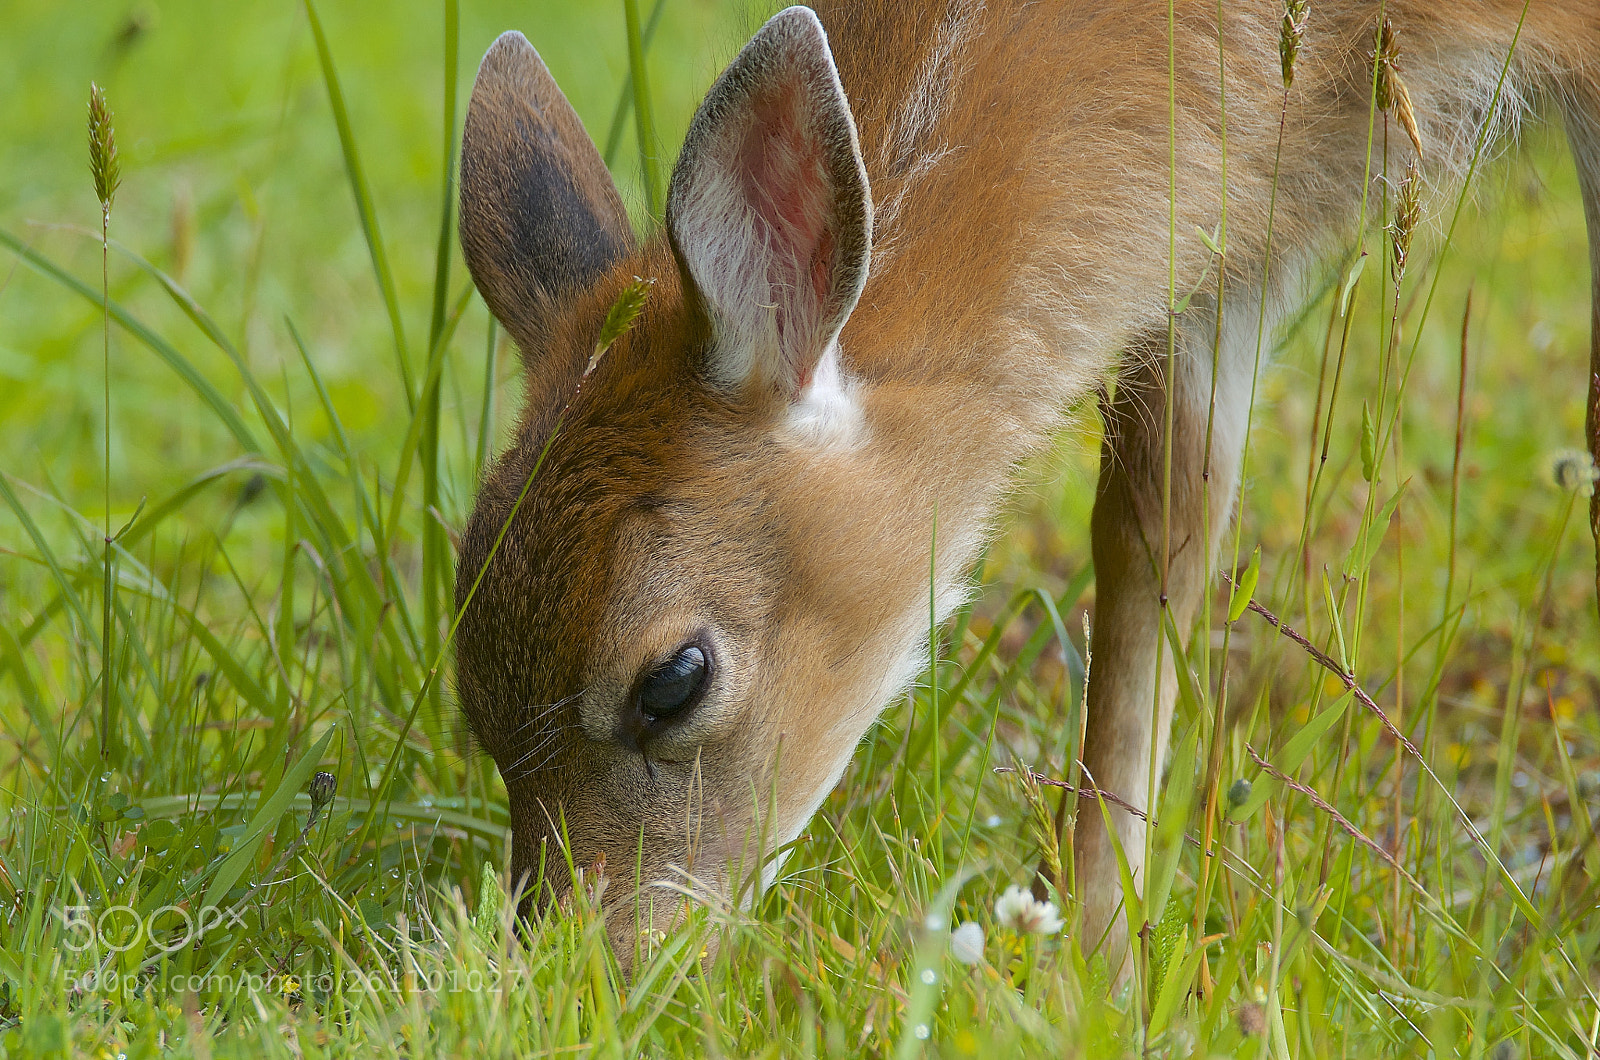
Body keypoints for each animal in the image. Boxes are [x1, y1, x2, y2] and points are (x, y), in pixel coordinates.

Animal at [451, 0, 1600, 975]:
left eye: (673, 680)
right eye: (470, 693)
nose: (579, 967)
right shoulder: (1214, 205)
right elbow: (1156, 528)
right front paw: (1094, 958)